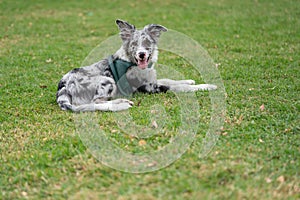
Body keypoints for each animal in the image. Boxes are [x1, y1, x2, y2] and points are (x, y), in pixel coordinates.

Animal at [55, 19, 216, 111]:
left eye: (147, 43)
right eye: (134, 44)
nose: (142, 54)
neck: (132, 62)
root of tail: (62, 87)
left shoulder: (152, 80)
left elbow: (171, 80)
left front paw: (189, 80)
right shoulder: (150, 87)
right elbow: (180, 87)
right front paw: (206, 86)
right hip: (107, 80)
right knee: (95, 103)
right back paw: (121, 104)